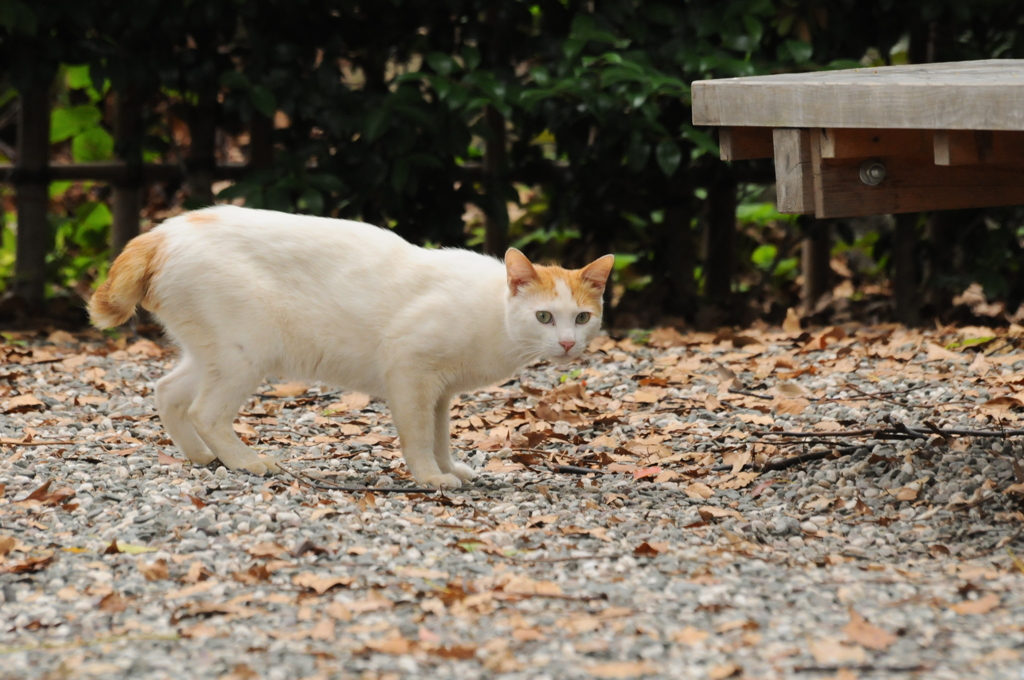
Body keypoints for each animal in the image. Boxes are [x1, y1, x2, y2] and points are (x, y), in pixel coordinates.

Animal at [88, 206, 610, 489]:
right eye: (544, 317)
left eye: (582, 318)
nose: (567, 343)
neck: (492, 314)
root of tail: (162, 231)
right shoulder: (411, 373)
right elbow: (419, 437)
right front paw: (429, 477)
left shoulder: (441, 392)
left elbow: (440, 435)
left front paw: (448, 468)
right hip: (245, 354)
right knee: (205, 412)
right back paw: (248, 462)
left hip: (212, 354)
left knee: (166, 392)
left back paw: (200, 457)